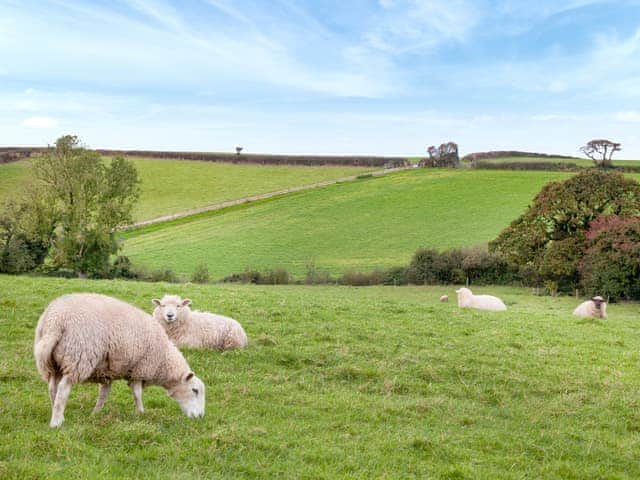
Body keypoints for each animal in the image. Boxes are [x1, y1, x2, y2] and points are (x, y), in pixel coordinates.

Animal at [34, 292, 205, 428]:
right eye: (194, 390)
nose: (200, 417)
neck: (163, 359)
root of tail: (55, 321)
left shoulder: (107, 372)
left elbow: (103, 394)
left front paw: (95, 413)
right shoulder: (139, 369)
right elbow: (137, 394)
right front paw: (141, 413)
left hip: (53, 363)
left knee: (52, 387)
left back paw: (56, 411)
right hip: (78, 357)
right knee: (63, 389)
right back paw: (56, 422)